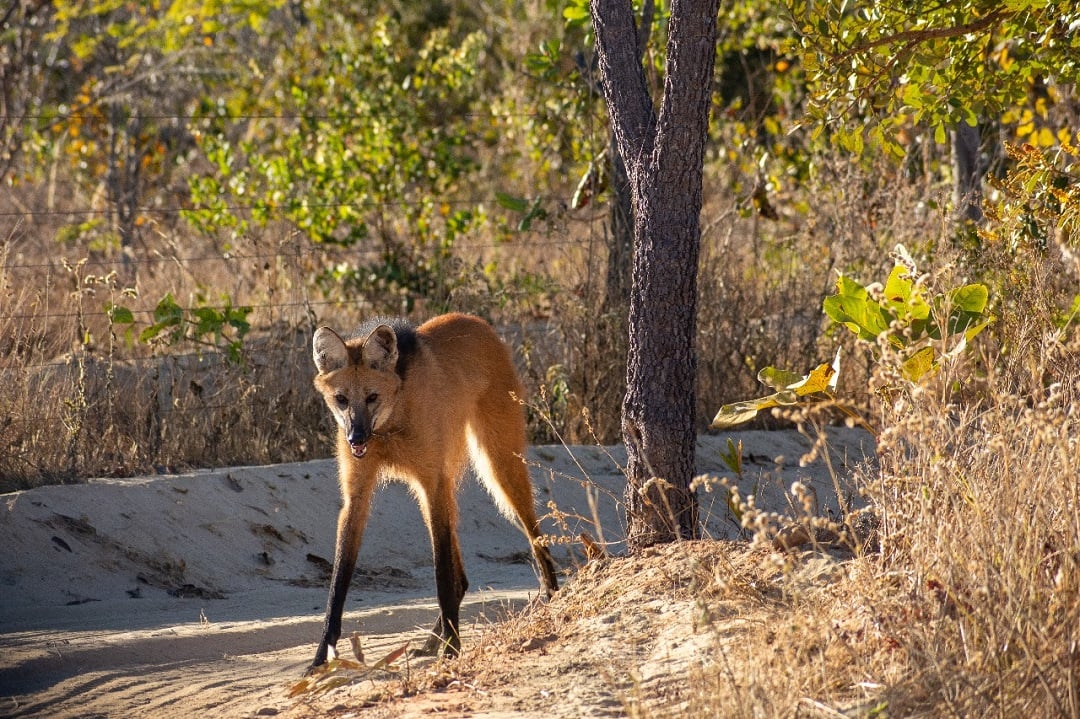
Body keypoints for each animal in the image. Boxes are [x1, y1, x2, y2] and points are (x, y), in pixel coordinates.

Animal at [304, 310, 557, 669]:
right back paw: (431, 643)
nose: (356, 438)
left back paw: (553, 597)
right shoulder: (358, 495)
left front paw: (453, 649)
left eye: (372, 397)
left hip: (496, 466)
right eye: (341, 400)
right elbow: (338, 583)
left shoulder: (431, 483)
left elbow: (441, 575)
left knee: (534, 536)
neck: (389, 424)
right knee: (462, 578)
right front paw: (320, 657)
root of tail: (477, 321)